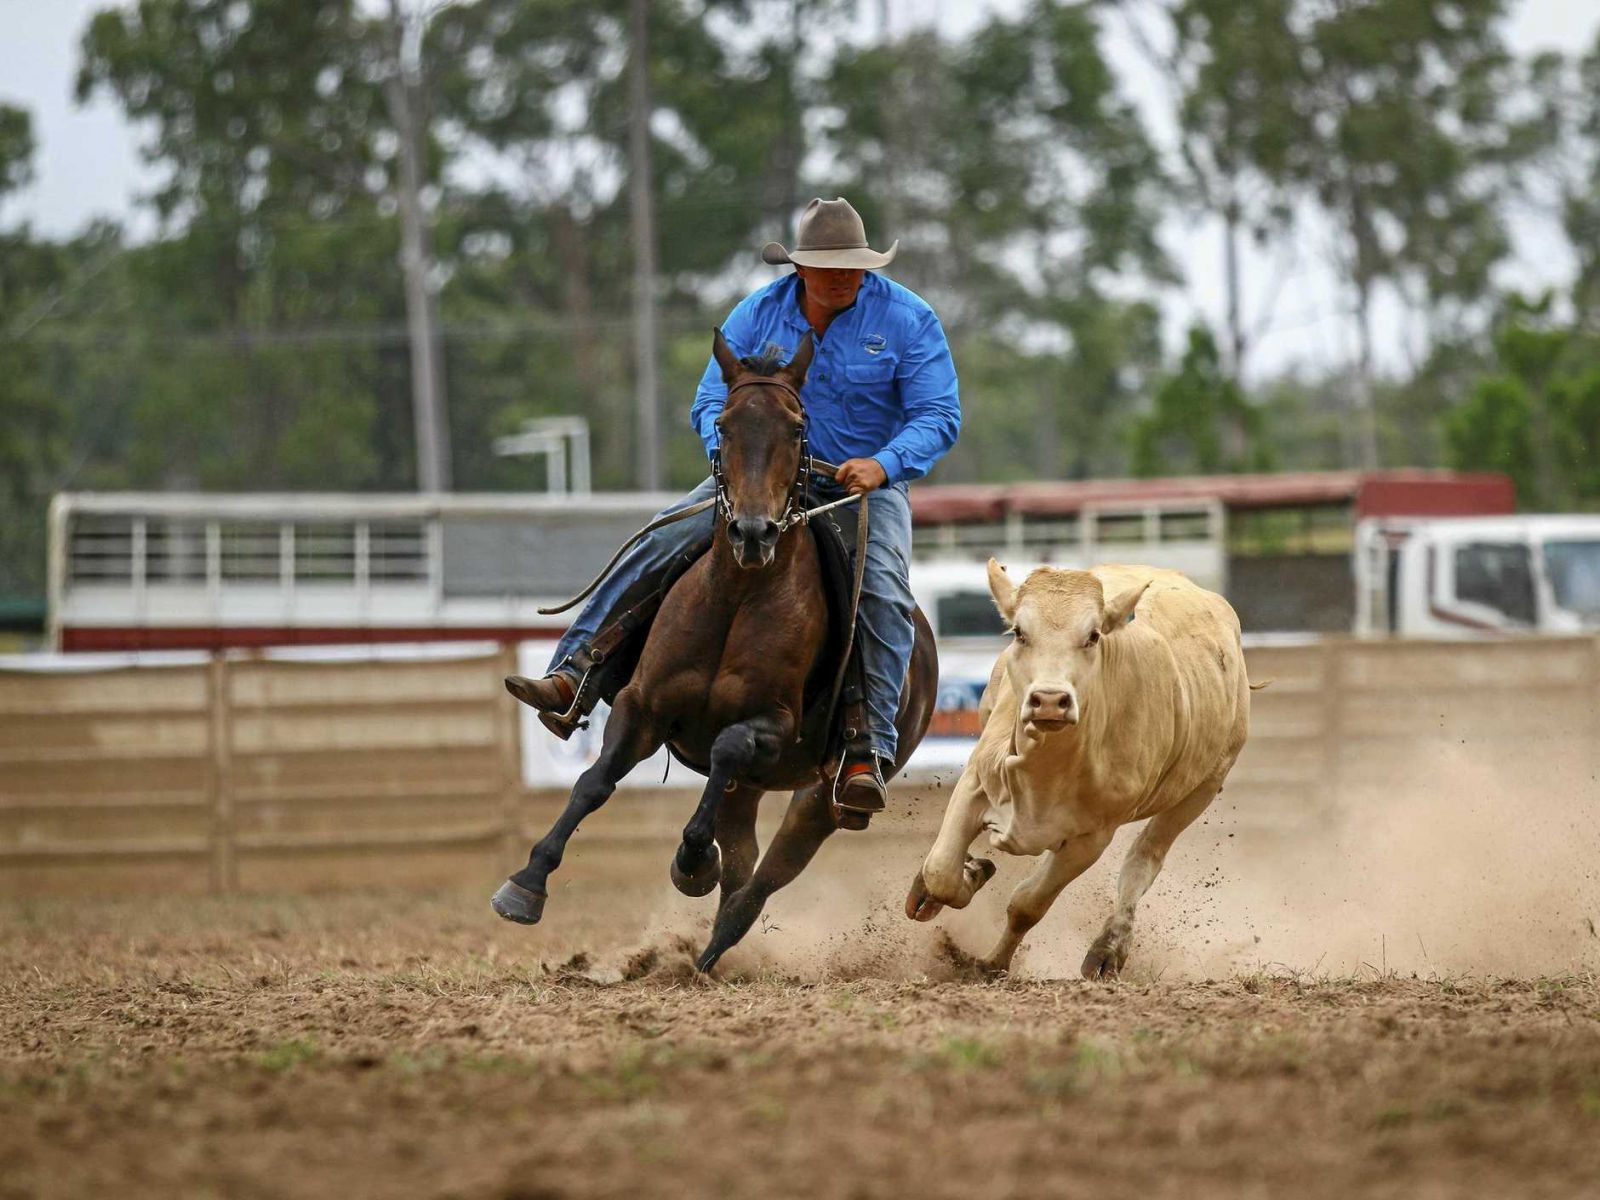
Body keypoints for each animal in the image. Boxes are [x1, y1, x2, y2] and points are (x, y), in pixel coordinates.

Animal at [489, 329, 934, 979]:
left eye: (796, 428)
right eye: (722, 424)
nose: (753, 533)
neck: (738, 598)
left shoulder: (771, 725)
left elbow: (724, 750)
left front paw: (693, 860)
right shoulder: (641, 706)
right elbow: (594, 783)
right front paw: (526, 884)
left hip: (819, 796)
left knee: (765, 875)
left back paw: (710, 948)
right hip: (751, 787)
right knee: (743, 856)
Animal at [902, 560, 1248, 979]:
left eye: (1093, 635)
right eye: (1019, 632)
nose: (1050, 700)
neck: (1046, 772)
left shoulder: (1091, 838)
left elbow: (1027, 904)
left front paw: (991, 964)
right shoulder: (976, 783)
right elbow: (940, 872)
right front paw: (966, 874)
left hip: (1202, 788)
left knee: (1144, 859)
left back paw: (1109, 948)